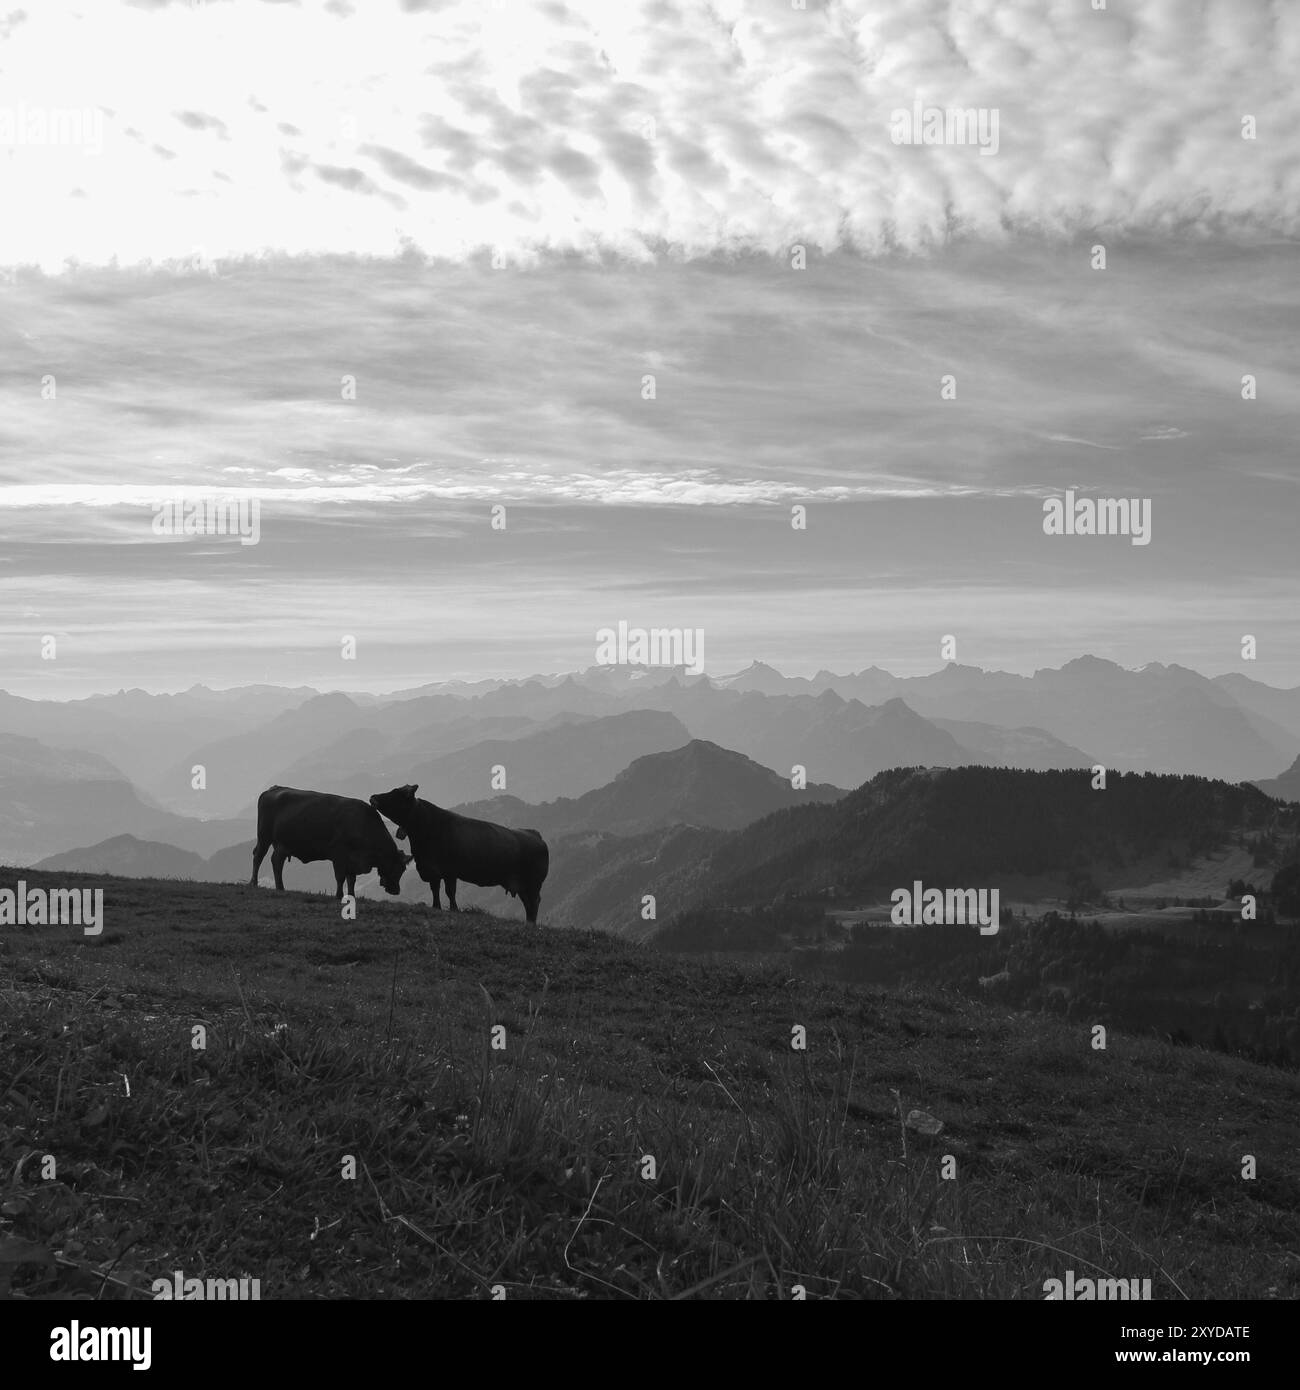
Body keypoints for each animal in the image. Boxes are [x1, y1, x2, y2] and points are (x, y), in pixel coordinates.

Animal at [248, 783, 411, 900]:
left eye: (403, 869)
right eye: (397, 868)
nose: (396, 891)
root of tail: (274, 789)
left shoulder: (352, 860)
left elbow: (351, 880)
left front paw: (351, 896)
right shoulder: (339, 854)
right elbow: (340, 877)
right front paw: (339, 895)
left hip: (282, 845)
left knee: (276, 861)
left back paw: (280, 887)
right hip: (264, 836)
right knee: (258, 857)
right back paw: (254, 883)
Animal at [369, 783, 547, 922]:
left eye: (395, 793)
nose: (373, 797)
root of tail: (534, 834)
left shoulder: (449, 871)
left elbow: (450, 891)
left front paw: (454, 909)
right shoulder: (431, 869)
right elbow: (435, 889)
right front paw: (436, 906)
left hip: (534, 884)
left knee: (534, 902)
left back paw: (532, 924)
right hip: (523, 885)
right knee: (528, 904)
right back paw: (529, 922)